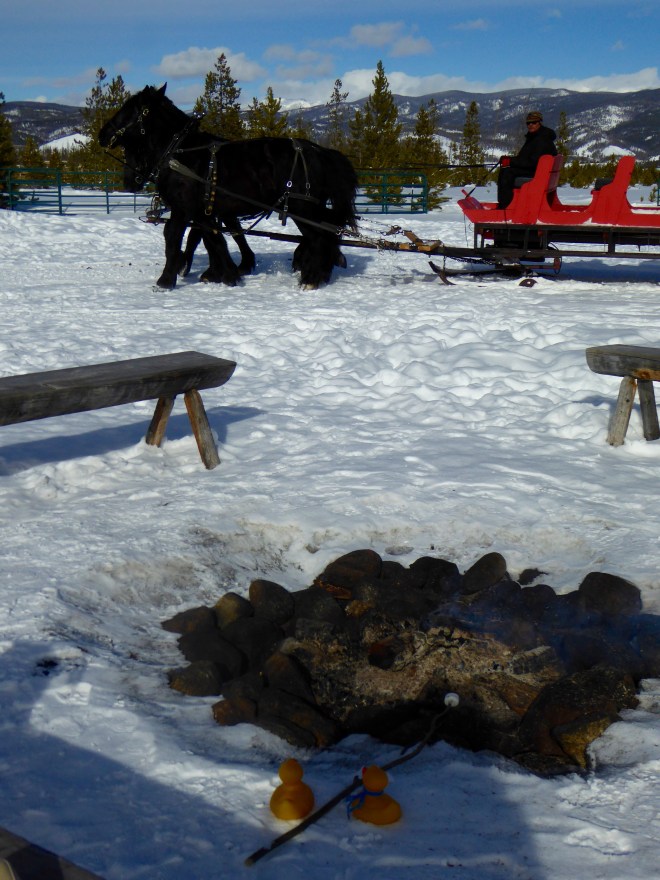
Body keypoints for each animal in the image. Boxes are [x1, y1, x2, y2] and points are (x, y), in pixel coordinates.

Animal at [98, 84, 359, 289]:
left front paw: (166, 279)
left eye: (128, 109)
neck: (181, 152)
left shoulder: (183, 208)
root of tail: (320, 151)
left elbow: (174, 236)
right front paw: (226, 274)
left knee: (319, 237)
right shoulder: (204, 210)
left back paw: (311, 278)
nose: (102, 134)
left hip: (300, 207)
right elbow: (213, 238)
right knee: (326, 234)